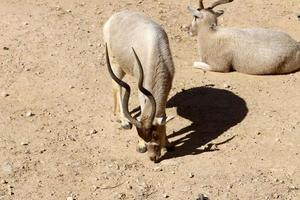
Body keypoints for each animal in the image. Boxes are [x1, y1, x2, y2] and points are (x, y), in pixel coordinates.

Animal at [103, 10, 175, 162]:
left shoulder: (168, 87)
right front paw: (141, 146)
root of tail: (113, 18)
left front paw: (168, 143)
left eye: (155, 135)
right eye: (143, 136)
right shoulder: (141, 88)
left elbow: (163, 115)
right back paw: (124, 121)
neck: (155, 50)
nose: (153, 158)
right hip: (115, 63)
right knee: (117, 87)